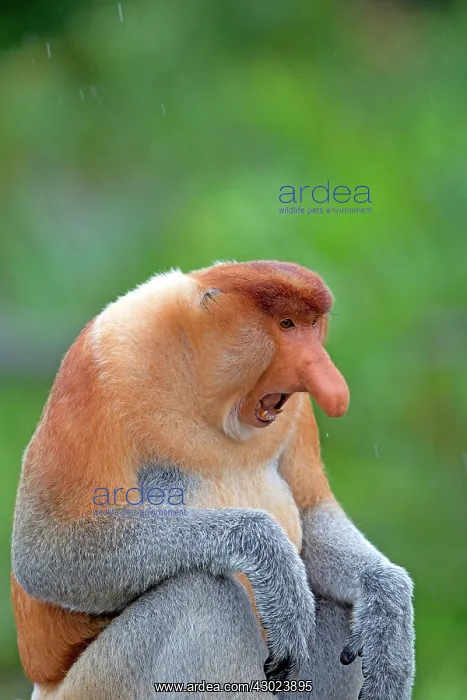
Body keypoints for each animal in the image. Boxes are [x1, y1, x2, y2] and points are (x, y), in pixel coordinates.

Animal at [11, 260, 415, 700]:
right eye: (287, 324)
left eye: (313, 325)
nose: (331, 385)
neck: (205, 391)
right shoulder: (101, 369)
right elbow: (46, 552)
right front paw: (269, 557)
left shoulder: (296, 414)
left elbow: (312, 513)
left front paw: (387, 603)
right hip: (100, 683)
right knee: (203, 596)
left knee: (337, 604)